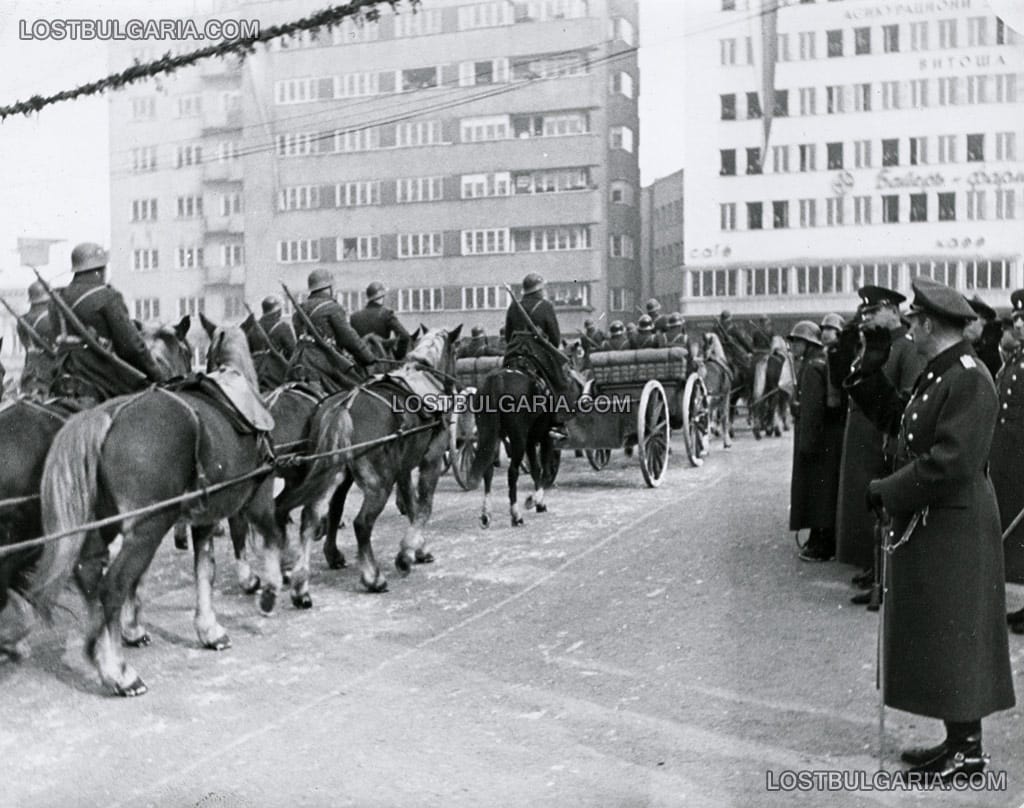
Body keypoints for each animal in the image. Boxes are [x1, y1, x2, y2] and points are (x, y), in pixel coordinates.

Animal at [276, 325, 460, 593]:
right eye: (456, 353)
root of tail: (345, 406)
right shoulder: (431, 461)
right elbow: (424, 507)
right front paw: (407, 554)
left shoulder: (402, 470)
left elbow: (411, 504)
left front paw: (418, 549)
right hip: (378, 483)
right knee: (362, 523)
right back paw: (373, 577)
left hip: (329, 475)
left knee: (309, 517)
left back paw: (299, 577)